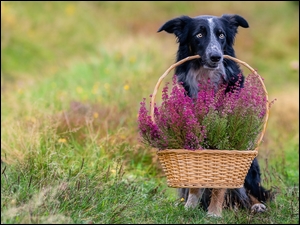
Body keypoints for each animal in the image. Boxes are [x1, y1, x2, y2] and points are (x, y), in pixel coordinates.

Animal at [158, 13, 274, 216]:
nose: (216, 57)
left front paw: (213, 212)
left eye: (221, 35)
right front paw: (190, 206)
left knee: (251, 191)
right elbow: (196, 181)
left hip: (251, 167)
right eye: (198, 35)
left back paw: (256, 205)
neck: (206, 77)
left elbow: (221, 181)